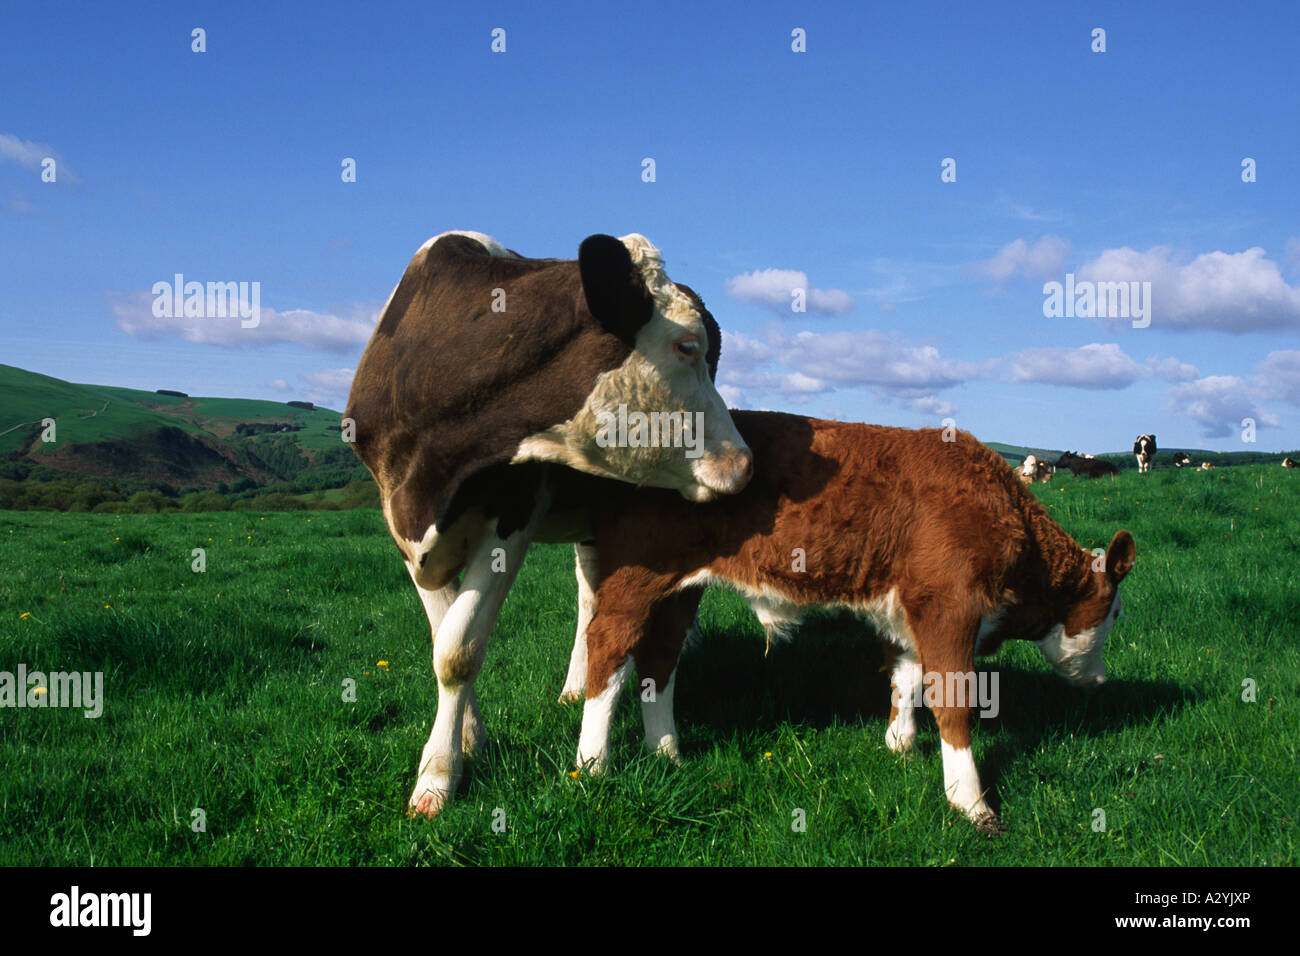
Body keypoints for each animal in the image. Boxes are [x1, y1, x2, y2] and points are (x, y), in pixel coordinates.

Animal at [345, 230, 754, 816]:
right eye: (685, 346)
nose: (745, 462)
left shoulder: (512, 515)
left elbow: (458, 649)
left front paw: (437, 776)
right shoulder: (404, 528)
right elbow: (444, 638)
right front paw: (467, 740)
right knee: (589, 595)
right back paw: (575, 686)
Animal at [572, 411, 1138, 832]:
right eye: (1115, 610)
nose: (1101, 680)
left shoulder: (910, 609)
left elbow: (907, 677)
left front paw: (901, 746)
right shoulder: (950, 606)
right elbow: (953, 700)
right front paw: (970, 803)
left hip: (680, 589)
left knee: (660, 660)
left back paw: (666, 752)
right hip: (637, 576)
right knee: (608, 647)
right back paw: (594, 764)